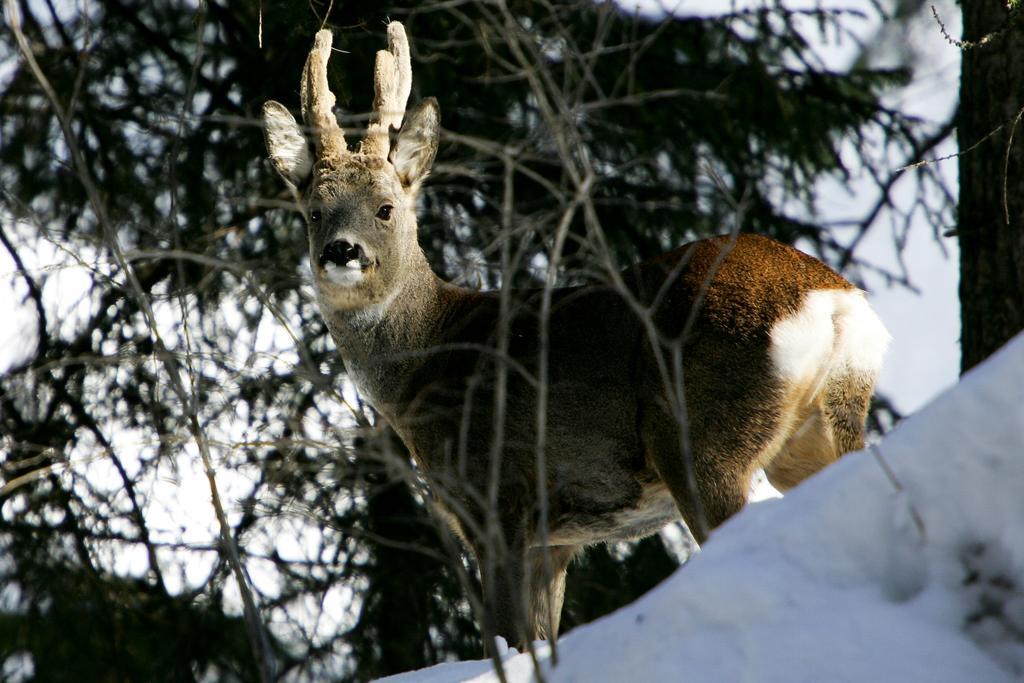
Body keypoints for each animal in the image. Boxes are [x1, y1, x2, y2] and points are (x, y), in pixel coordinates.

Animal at [262, 20, 888, 651]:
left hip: (704, 439)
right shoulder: (555, 539)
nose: (342, 251)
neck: (431, 360)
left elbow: (506, 638)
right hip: (813, 432)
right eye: (314, 211)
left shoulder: (498, 497)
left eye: (386, 208)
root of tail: (834, 300)